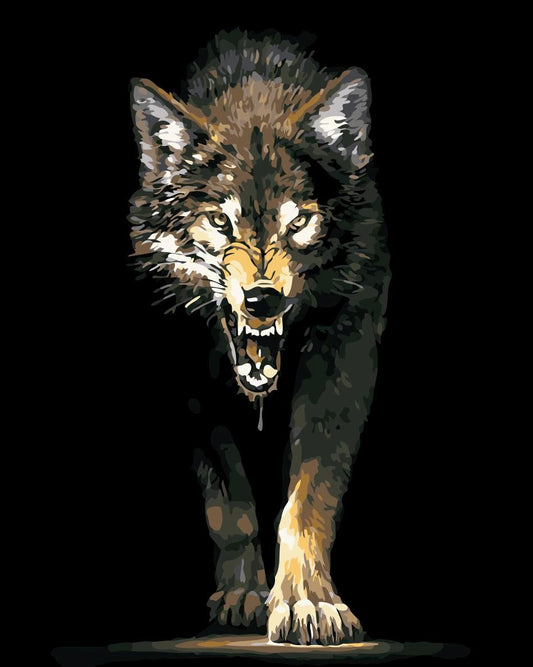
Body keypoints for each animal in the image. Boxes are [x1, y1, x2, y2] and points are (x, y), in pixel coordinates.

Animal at [129, 30, 390, 646]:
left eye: (298, 223)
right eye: (220, 223)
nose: (261, 300)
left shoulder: (344, 357)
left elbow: (309, 498)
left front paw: (307, 602)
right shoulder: (192, 385)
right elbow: (232, 504)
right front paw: (245, 594)